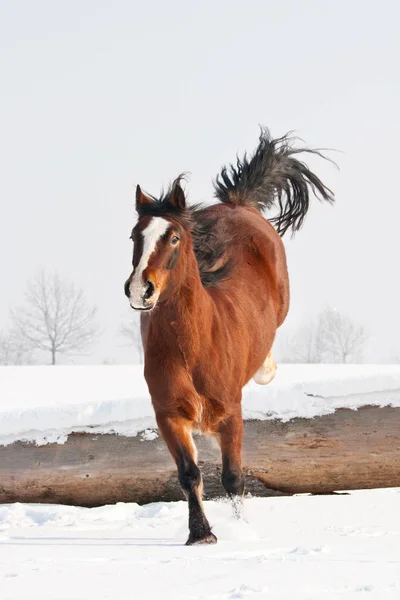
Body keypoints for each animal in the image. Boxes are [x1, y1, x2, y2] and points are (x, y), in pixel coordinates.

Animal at [125, 129, 334, 548]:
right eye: (134, 237)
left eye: (174, 237)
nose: (141, 289)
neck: (193, 347)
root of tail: (238, 204)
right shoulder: (168, 415)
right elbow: (189, 474)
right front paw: (201, 534)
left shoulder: (230, 413)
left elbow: (233, 477)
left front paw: (242, 532)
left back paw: (265, 368)